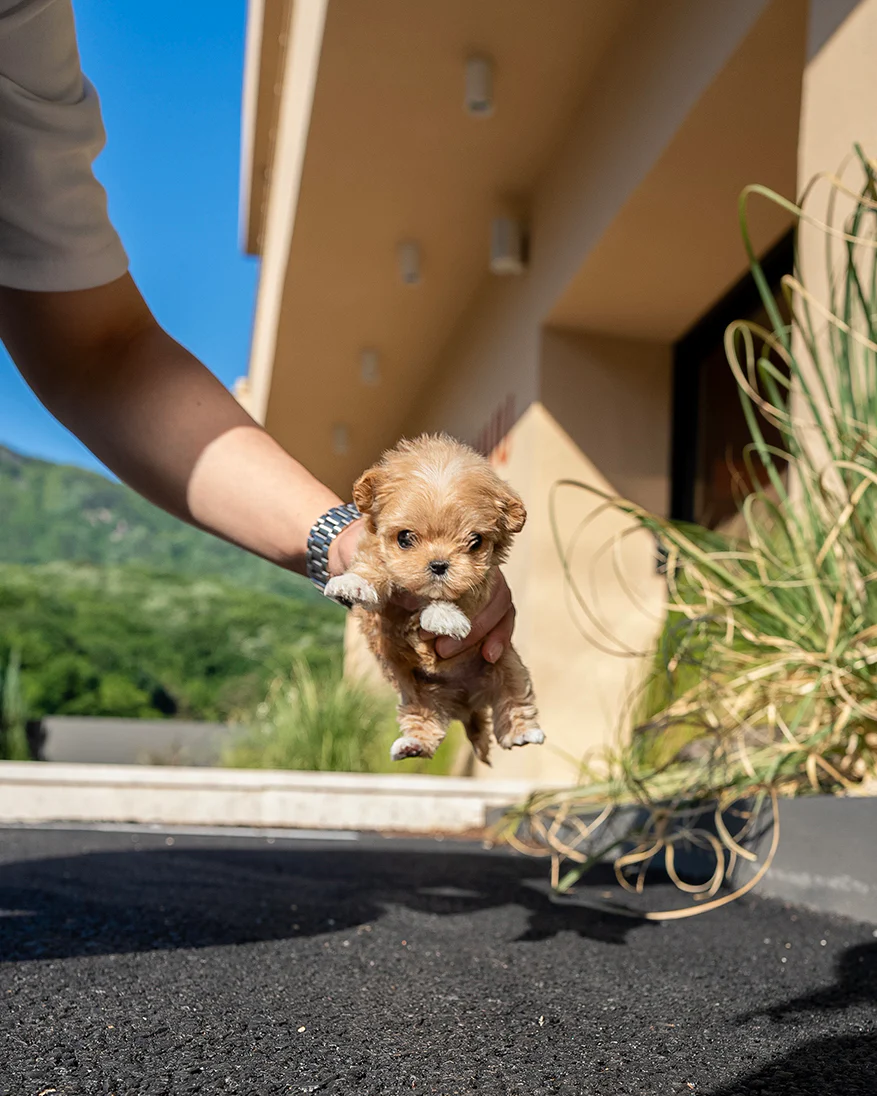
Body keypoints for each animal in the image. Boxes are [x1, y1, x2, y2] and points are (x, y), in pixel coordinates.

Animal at [324, 429, 541, 762]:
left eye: (475, 542)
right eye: (404, 538)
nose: (439, 565)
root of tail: (466, 705)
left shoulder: (485, 584)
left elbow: (465, 593)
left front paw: (442, 615)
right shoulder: (376, 556)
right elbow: (372, 565)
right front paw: (353, 583)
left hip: (507, 665)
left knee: (514, 698)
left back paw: (522, 733)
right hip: (416, 692)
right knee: (425, 720)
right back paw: (413, 744)